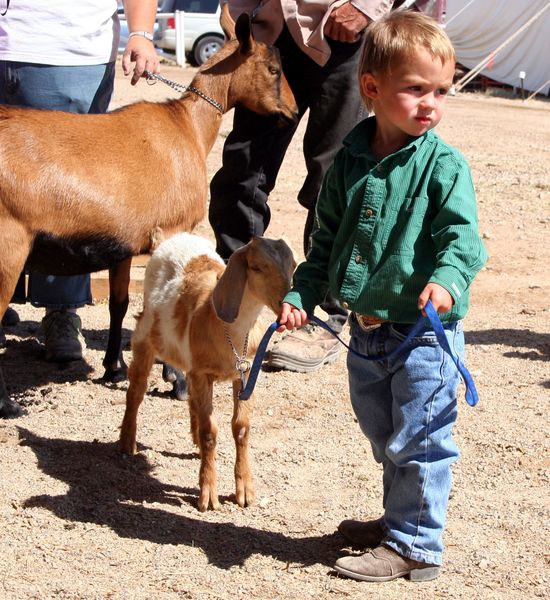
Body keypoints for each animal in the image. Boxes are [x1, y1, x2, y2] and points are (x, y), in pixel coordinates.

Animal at [0, 5, 298, 418]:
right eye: (273, 69)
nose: (294, 110)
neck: (188, 127)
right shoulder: (170, 230)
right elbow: (169, 299)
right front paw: (178, 381)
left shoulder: (122, 242)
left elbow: (120, 303)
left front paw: (114, 368)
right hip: (9, 245)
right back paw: (8, 404)